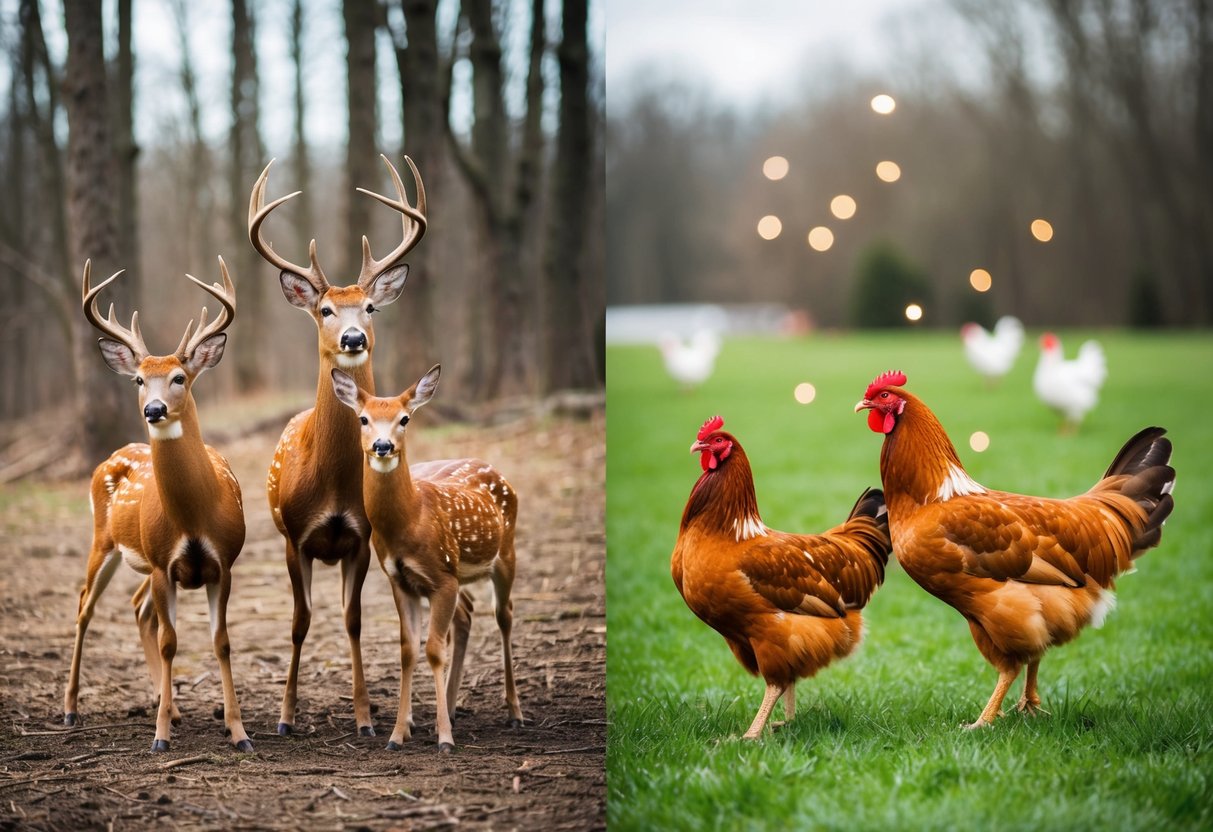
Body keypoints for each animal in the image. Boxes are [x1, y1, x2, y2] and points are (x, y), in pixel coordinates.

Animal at [64, 259, 251, 753]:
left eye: (179, 377)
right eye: (138, 379)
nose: (154, 409)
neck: (194, 516)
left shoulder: (221, 563)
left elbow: (222, 641)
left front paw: (239, 731)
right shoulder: (166, 563)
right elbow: (171, 643)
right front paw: (160, 737)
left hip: (145, 565)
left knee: (137, 607)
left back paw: (171, 706)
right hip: (104, 542)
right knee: (85, 606)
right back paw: (70, 709)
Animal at [248, 154, 472, 737]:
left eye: (370, 306)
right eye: (326, 309)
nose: (353, 338)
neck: (329, 479)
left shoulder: (360, 538)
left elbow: (352, 621)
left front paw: (368, 717)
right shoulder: (295, 537)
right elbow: (300, 621)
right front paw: (285, 716)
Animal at [330, 366, 523, 752]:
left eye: (404, 418)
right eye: (363, 419)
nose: (383, 445)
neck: (411, 519)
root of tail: (494, 469)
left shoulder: (442, 577)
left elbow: (434, 649)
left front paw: (445, 739)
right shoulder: (401, 579)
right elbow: (408, 649)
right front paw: (397, 735)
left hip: (505, 554)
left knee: (504, 614)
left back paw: (514, 713)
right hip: (460, 575)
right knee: (466, 616)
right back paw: (445, 709)